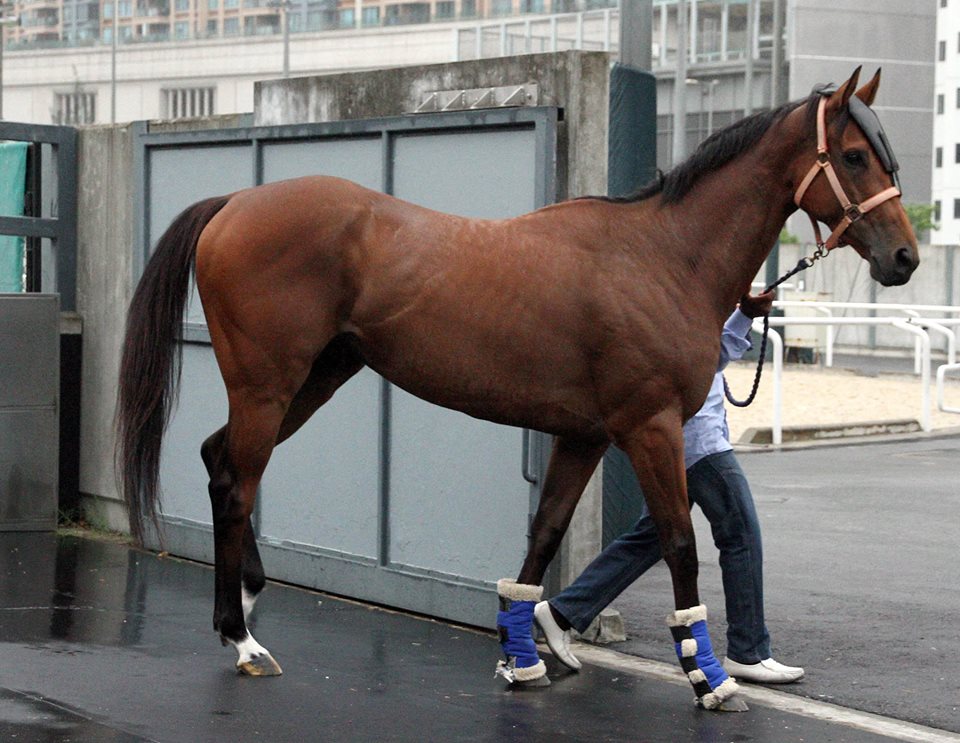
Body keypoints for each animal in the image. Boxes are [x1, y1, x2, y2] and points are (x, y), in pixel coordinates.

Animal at [116, 68, 920, 708]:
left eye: (884, 153)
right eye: (853, 154)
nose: (905, 258)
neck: (663, 257)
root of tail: (232, 203)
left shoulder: (584, 433)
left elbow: (545, 535)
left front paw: (521, 656)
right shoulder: (650, 426)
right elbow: (680, 543)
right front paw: (708, 678)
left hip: (316, 378)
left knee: (220, 458)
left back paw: (248, 596)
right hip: (269, 384)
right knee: (237, 483)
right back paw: (242, 639)